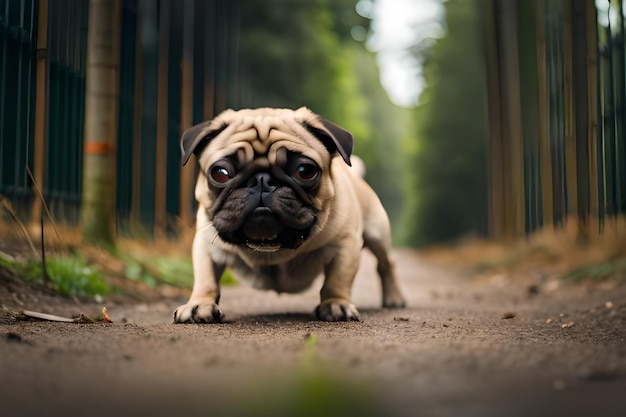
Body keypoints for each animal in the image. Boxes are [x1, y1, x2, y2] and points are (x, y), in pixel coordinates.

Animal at [172, 106, 404, 322]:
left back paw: (394, 298)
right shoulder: (205, 245)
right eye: (220, 173)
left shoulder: (345, 244)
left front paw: (335, 303)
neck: (270, 245)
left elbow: (337, 279)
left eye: (305, 171)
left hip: (377, 234)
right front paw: (199, 304)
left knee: (386, 263)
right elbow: (206, 278)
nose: (262, 180)